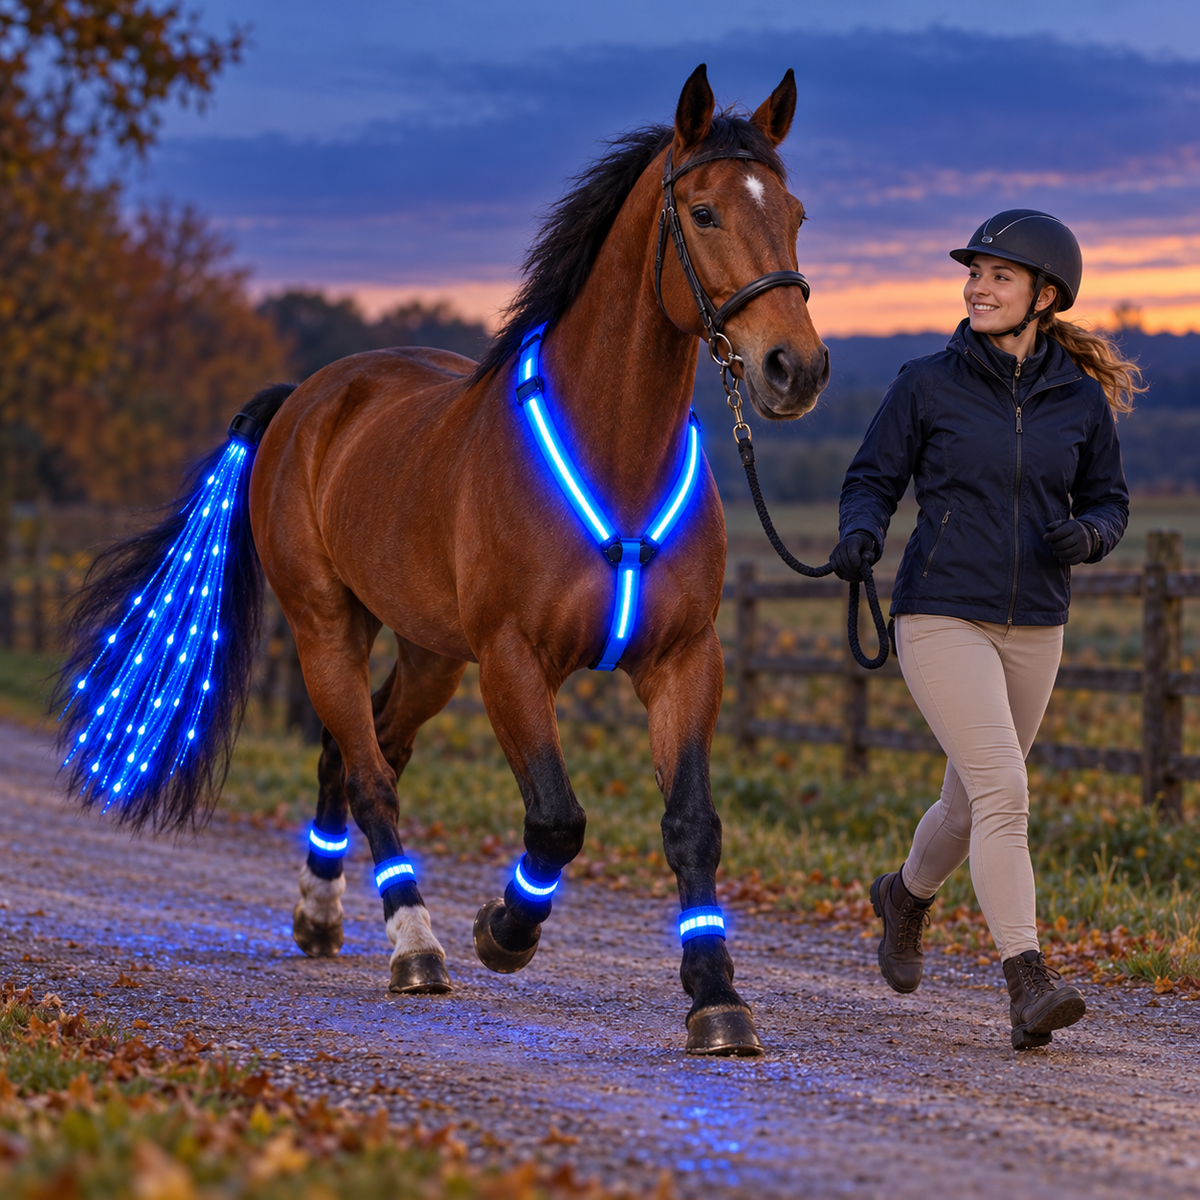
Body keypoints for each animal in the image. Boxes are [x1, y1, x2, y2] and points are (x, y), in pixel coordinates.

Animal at [54, 64, 828, 1056]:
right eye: (703, 213)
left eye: (795, 213)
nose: (793, 370)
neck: (615, 457)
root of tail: (306, 400)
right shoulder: (513, 662)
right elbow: (556, 821)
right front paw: (501, 931)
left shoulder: (684, 659)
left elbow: (691, 825)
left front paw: (716, 998)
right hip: (327, 630)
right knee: (371, 776)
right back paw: (414, 946)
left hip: (429, 655)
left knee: (358, 751)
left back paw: (321, 915)